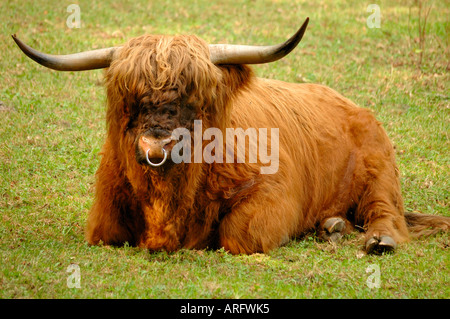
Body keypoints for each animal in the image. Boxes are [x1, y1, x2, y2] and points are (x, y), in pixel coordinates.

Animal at [12, 18, 448, 255]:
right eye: (131, 100)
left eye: (193, 99)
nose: (156, 146)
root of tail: (351, 104)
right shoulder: (104, 218)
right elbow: (107, 234)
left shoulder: (273, 195)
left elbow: (240, 234)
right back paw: (332, 225)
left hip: (380, 171)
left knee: (383, 211)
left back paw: (378, 239)